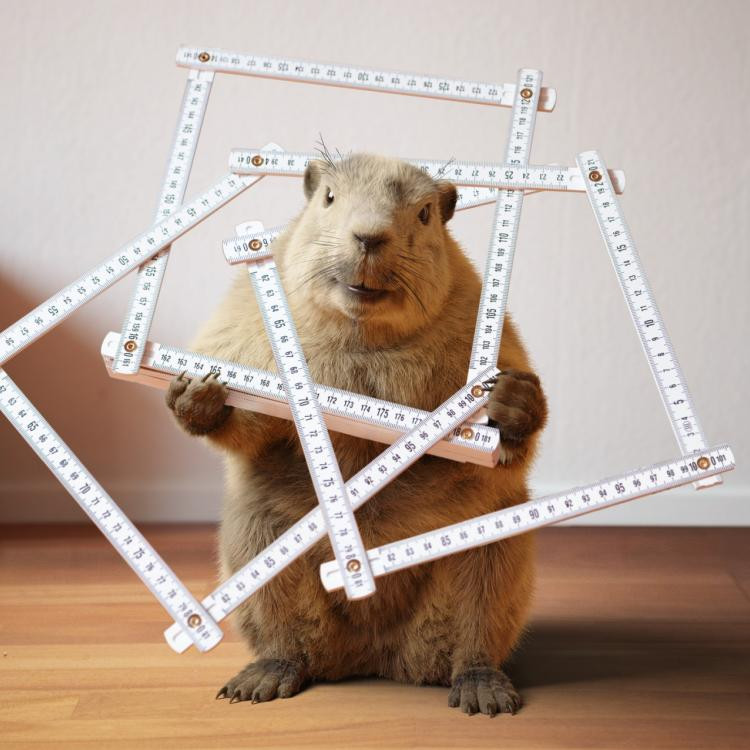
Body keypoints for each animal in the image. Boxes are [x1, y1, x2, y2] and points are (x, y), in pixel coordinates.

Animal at [166, 151, 547, 716]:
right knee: (288, 636)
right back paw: (258, 681)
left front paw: (509, 399)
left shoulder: (478, 313)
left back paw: (482, 690)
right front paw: (198, 392)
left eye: (425, 214)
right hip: (255, 536)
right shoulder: (245, 317)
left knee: (473, 629)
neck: (363, 338)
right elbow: (250, 423)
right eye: (328, 197)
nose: (369, 236)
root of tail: (374, 657)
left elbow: (511, 446)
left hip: (492, 551)